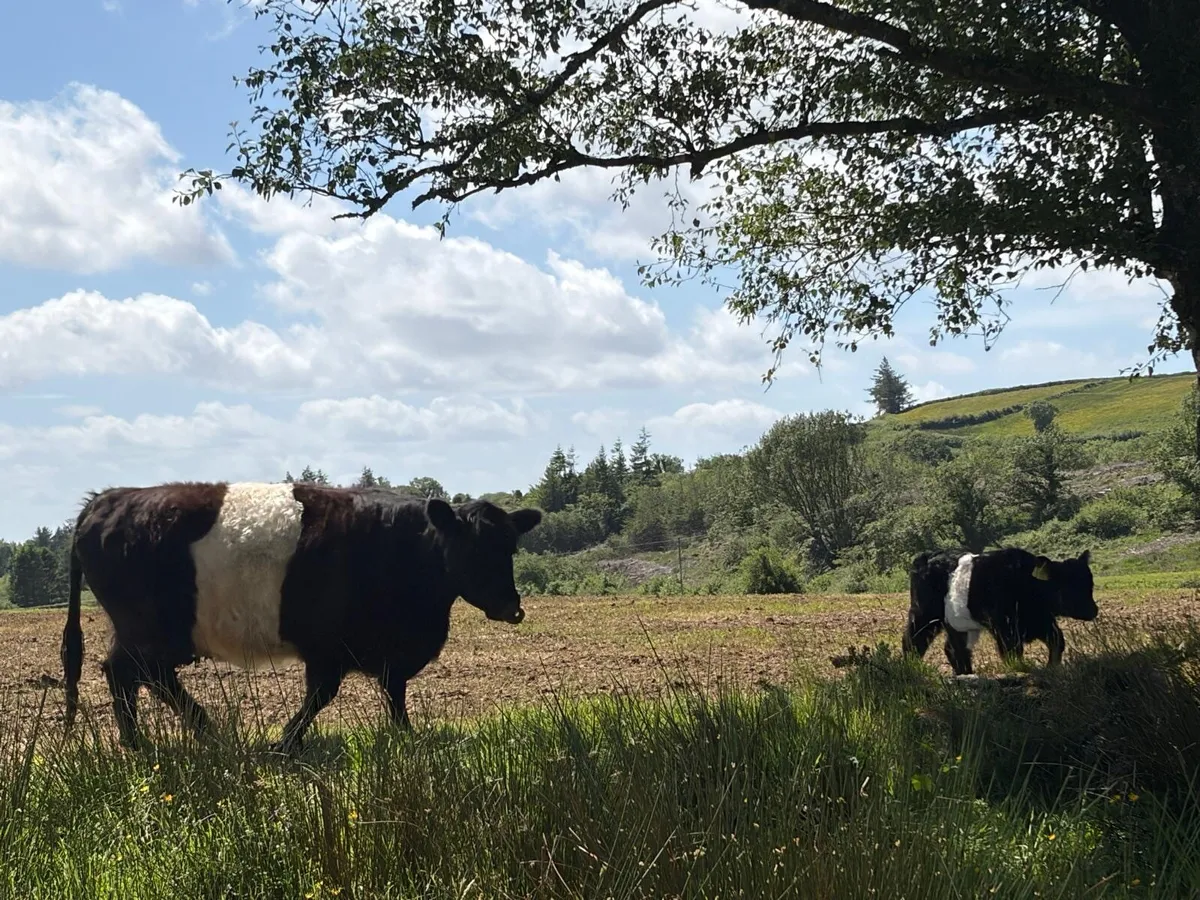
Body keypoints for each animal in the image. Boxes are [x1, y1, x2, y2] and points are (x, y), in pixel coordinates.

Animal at [60, 481, 543, 753]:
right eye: (473, 548)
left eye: (509, 547)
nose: (510, 607)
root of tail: (105, 500)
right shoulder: (329, 647)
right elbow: (321, 696)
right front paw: (285, 743)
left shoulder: (385, 649)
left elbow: (393, 693)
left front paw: (405, 734)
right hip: (148, 630)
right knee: (128, 674)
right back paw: (150, 741)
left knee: (141, 677)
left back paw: (192, 734)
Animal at [901, 546, 1098, 675]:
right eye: (1066, 586)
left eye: (1090, 584)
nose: (1093, 610)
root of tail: (927, 557)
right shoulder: (1005, 626)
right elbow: (1012, 652)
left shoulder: (1042, 620)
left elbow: (1057, 641)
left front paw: (1052, 668)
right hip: (923, 614)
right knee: (913, 642)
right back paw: (913, 669)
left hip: (957, 622)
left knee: (954, 649)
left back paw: (966, 674)